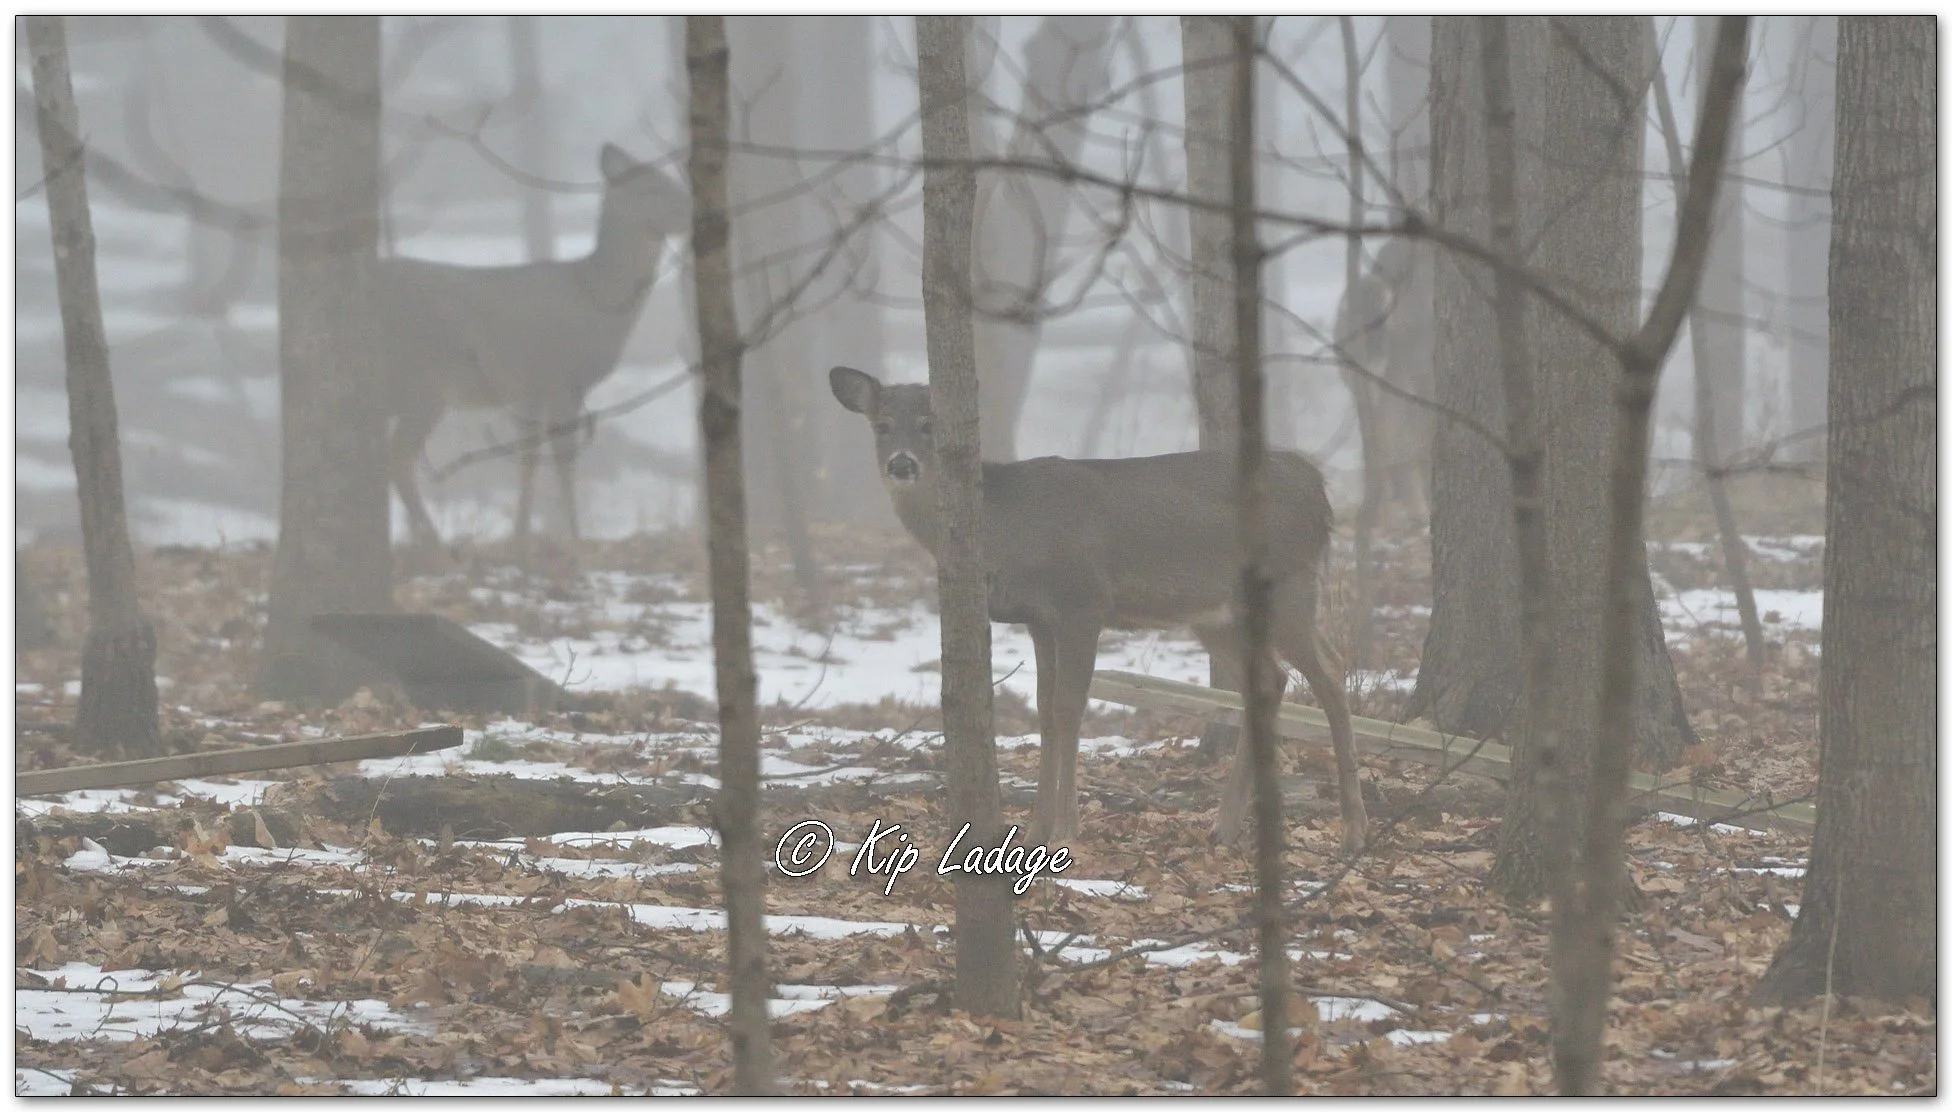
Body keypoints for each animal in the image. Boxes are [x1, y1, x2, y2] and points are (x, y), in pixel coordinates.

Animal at [375, 143, 691, 560]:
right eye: (652, 188)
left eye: (672, 180)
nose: (693, 214)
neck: (596, 301)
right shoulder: (561, 379)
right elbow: (564, 459)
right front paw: (575, 537)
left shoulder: (528, 390)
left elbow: (527, 458)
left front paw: (521, 536)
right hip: (423, 378)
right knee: (398, 460)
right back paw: (435, 544)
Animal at [829, 365, 1368, 856]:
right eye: (881, 424)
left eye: (929, 424)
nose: (902, 464)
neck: (1005, 528)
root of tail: (1318, 488)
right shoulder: (1038, 619)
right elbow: (1045, 711)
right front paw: (1035, 829)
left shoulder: (1081, 603)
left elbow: (1070, 709)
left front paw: (1066, 828)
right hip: (1214, 615)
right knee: (1271, 682)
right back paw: (1226, 827)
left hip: (1288, 583)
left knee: (1330, 672)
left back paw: (1352, 830)